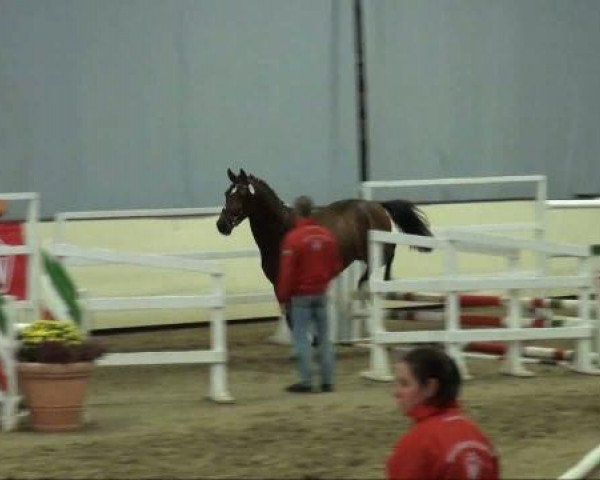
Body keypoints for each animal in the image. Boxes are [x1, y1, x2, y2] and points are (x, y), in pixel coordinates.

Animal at [216, 169, 432, 296]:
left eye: (242, 193)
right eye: (227, 193)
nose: (221, 225)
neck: (281, 231)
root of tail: (376, 205)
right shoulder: (279, 285)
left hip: (375, 250)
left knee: (387, 255)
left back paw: (373, 283)